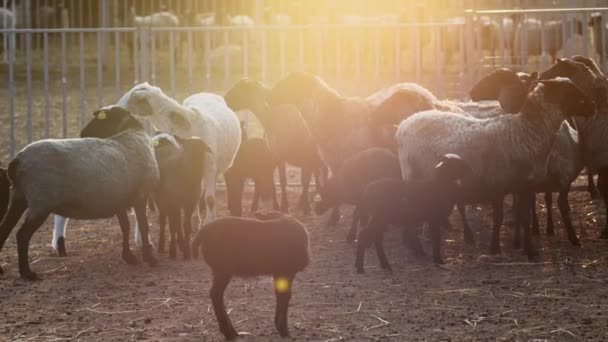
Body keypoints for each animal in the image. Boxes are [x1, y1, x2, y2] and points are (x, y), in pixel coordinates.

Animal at [0, 107, 159, 280]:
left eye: (99, 120)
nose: (83, 133)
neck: (132, 133)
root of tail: (17, 161)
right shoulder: (140, 196)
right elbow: (143, 227)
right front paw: (150, 259)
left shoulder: (120, 201)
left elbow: (126, 227)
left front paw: (129, 257)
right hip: (40, 202)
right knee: (22, 235)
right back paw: (27, 273)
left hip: (18, 197)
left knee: (4, 229)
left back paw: (3, 269)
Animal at [192, 211, 312, 340]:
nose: (305, 261)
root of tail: (203, 232)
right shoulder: (287, 271)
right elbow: (285, 296)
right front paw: (284, 330)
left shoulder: (279, 272)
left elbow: (280, 294)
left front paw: (279, 327)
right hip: (222, 270)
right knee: (216, 294)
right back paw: (229, 333)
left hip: (220, 271)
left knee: (215, 294)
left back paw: (231, 332)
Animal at [224, 79, 328, 215]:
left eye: (238, 88)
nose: (224, 100)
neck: (270, 116)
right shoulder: (276, 155)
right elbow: (281, 182)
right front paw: (284, 207)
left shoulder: (289, 155)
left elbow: (298, 181)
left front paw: (289, 207)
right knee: (318, 173)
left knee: (321, 173)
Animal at [396, 77, 596, 260]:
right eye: (569, 91)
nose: (593, 107)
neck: (522, 135)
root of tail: (404, 124)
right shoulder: (498, 185)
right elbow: (499, 218)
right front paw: (496, 249)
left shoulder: (523, 187)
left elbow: (524, 218)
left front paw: (528, 250)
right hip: (414, 175)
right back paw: (417, 249)